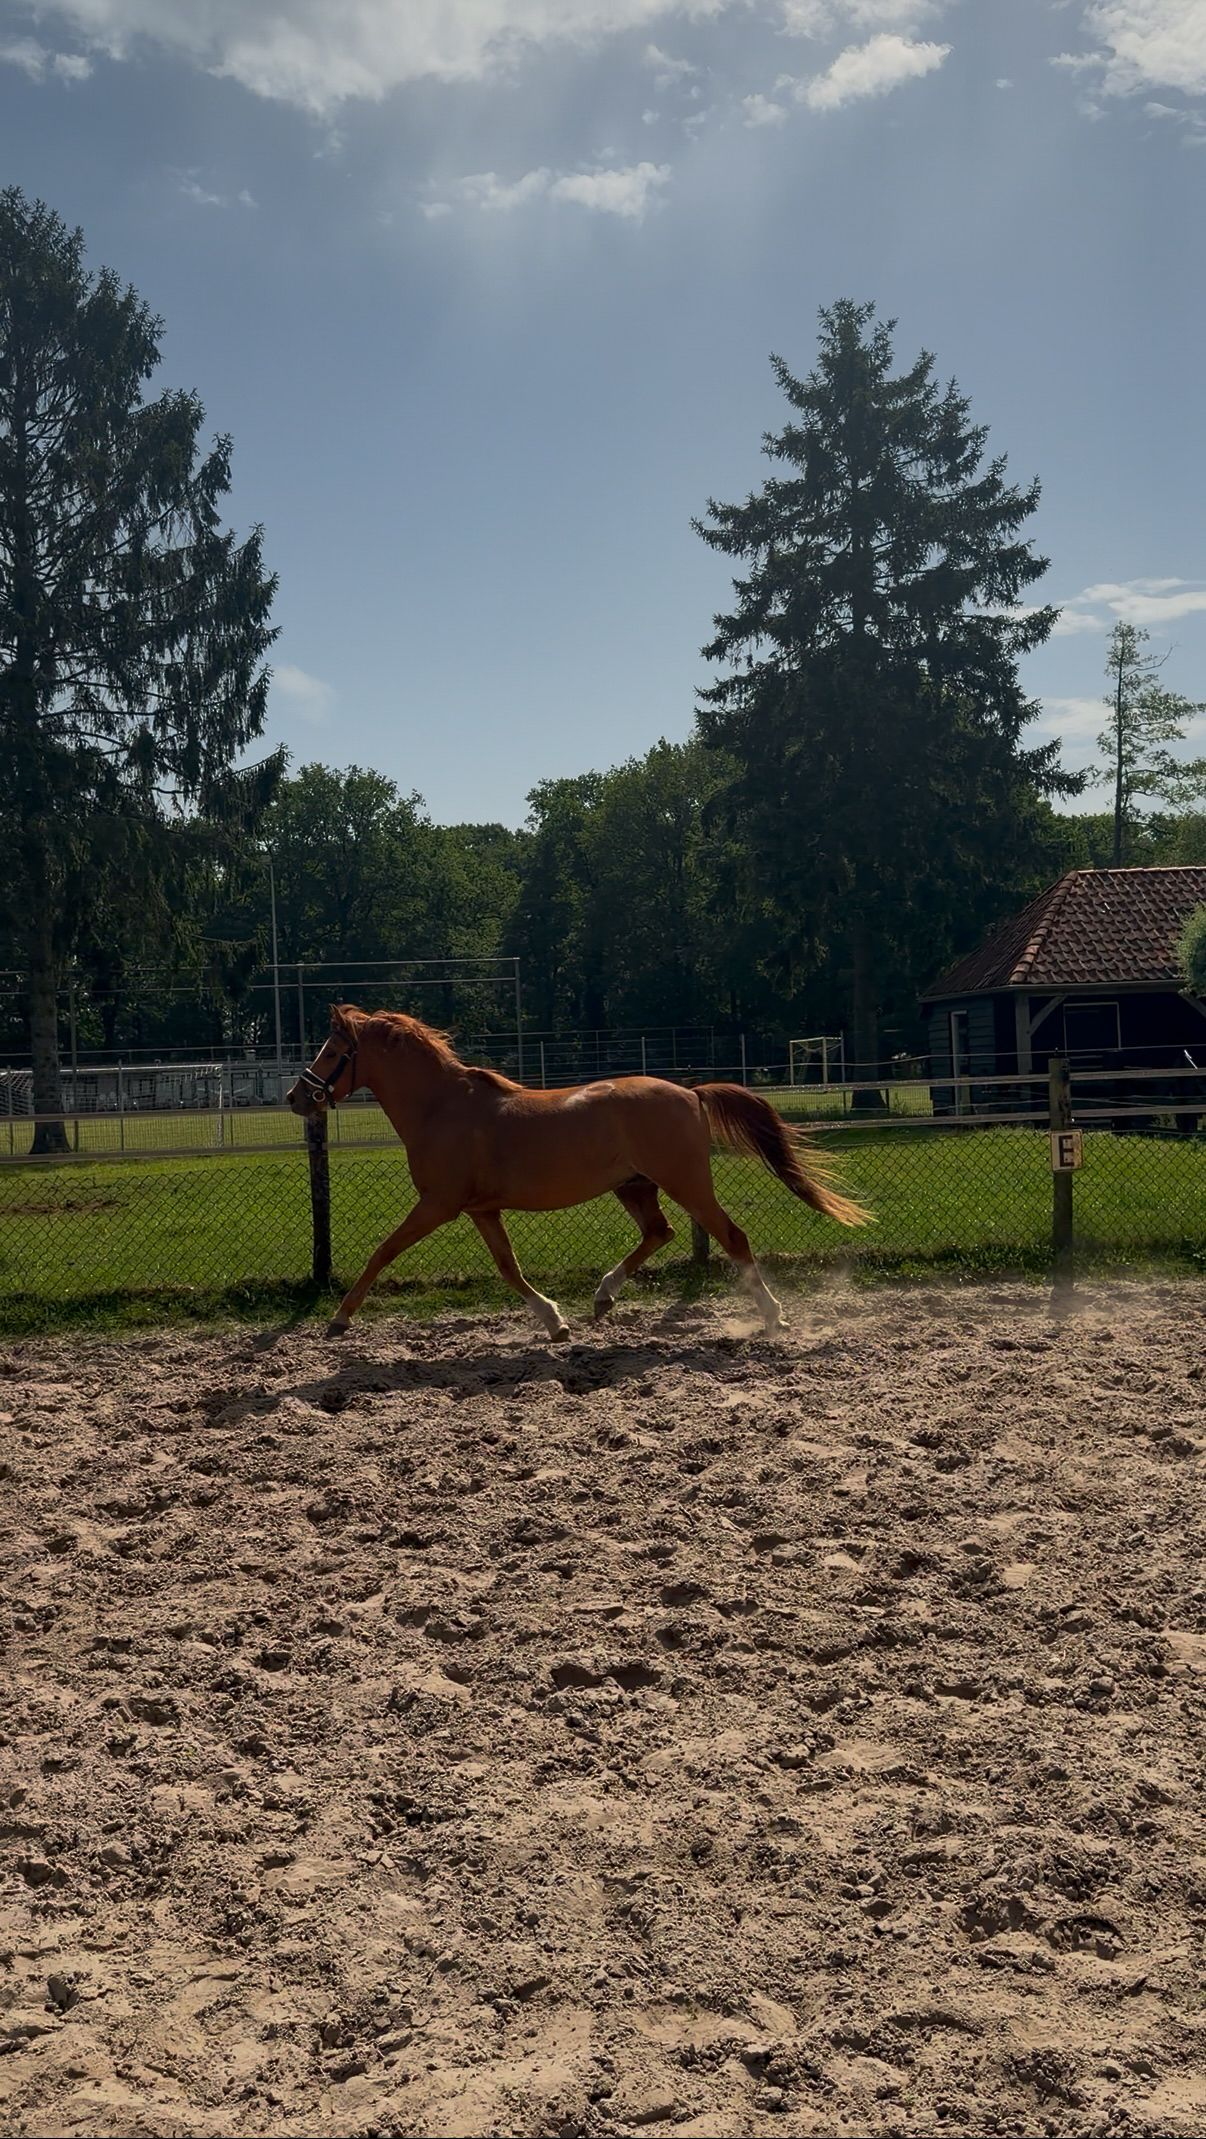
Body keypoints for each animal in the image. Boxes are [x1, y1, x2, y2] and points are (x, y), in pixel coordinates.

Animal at [287, 1005, 870, 1341]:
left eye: (333, 1051)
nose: (296, 1097)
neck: (441, 1108)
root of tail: (690, 1092)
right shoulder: (481, 1210)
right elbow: (508, 1268)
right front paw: (554, 1322)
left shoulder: (438, 1204)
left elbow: (383, 1251)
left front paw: (340, 1318)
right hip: (635, 1187)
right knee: (660, 1233)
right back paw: (603, 1296)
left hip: (686, 1183)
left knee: (731, 1236)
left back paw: (773, 1316)